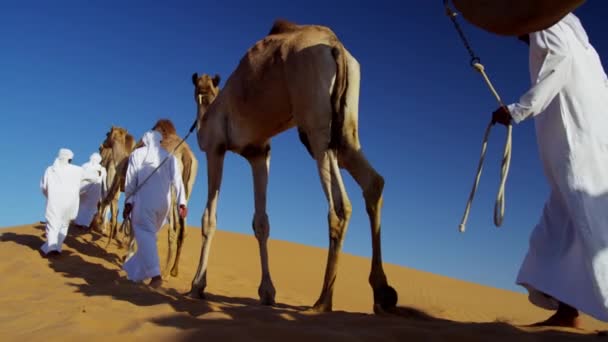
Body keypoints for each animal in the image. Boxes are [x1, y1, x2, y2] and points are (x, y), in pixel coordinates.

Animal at [150, 119, 200, 276]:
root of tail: (185, 154)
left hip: (171, 192)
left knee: (173, 229)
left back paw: (165, 272)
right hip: (186, 191)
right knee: (182, 229)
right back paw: (173, 270)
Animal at [190, 18, 400, 312]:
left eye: (203, 91)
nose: (202, 102)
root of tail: (334, 44)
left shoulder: (216, 148)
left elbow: (209, 218)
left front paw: (197, 285)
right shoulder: (259, 153)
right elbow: (261, 223)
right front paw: (267, 292)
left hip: (316, 126)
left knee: (340, 206)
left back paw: (323, 300)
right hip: (345, 127)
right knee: (372, 181)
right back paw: (381, 293)